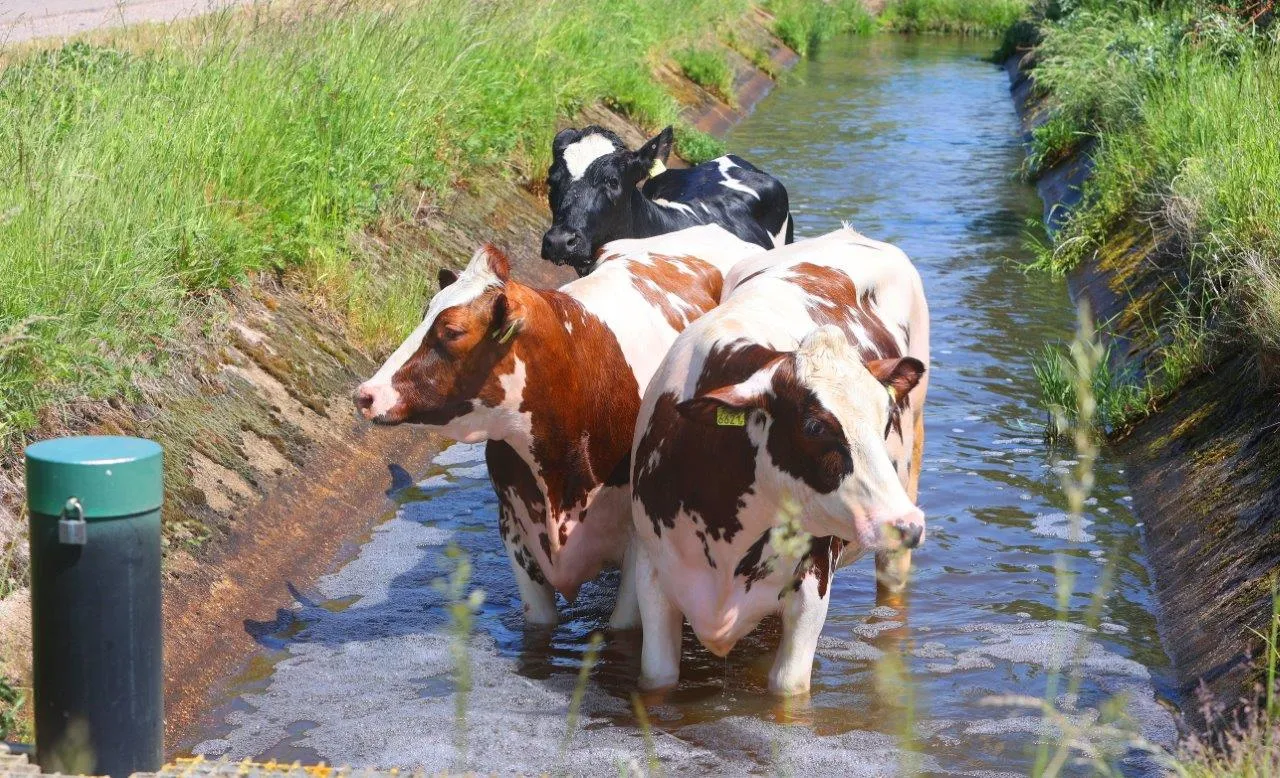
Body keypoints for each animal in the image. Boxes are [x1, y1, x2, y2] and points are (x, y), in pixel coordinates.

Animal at [629, 227, 929, 695]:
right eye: (813, 426)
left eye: (885, 420)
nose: (907, 524)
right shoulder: (652, 575)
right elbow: (658, 677)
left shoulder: (811, 588)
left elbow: (787, 688)